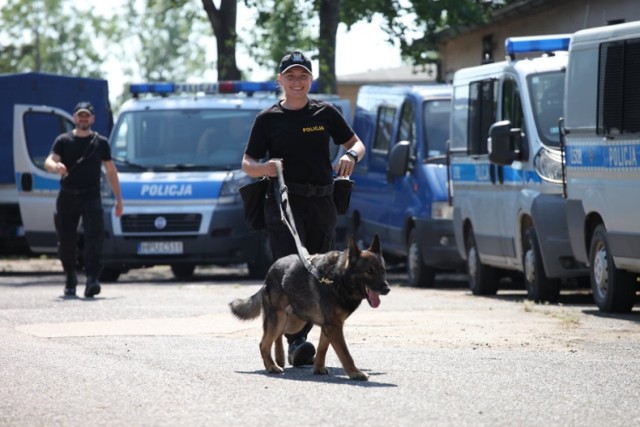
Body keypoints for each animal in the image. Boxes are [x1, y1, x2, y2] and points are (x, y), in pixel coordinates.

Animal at [230, 236, 390, 382]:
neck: (338, 278)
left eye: (383, 270)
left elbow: (322, 349)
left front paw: (318, 368)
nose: (387, 289)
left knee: (278, 335)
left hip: (294, 322)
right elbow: (345, 353)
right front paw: (355, 373)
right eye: (369, 271)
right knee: (264, 343)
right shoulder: (334, 326)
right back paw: (271, 366)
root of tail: (268, 274)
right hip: (280, 318)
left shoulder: (330, 326)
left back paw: (279, 357)